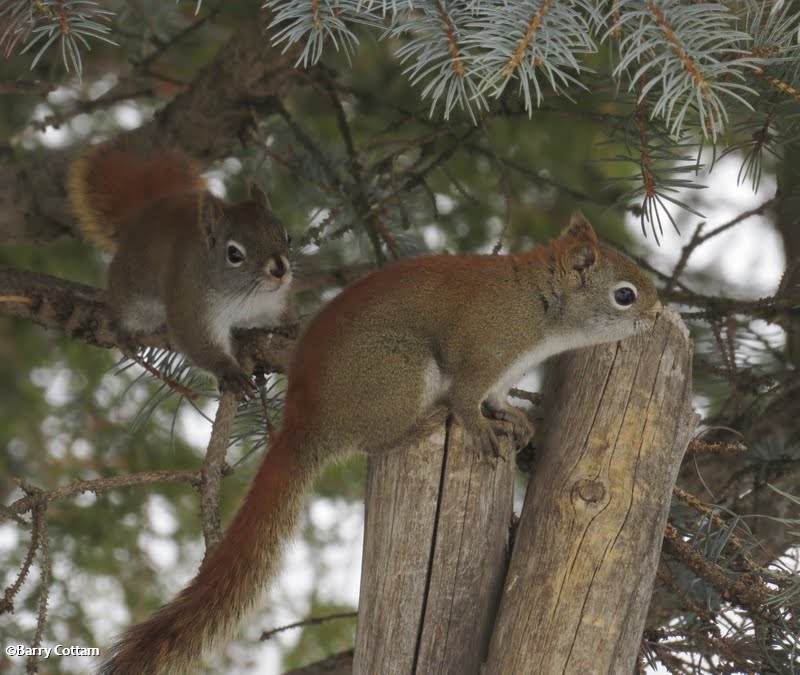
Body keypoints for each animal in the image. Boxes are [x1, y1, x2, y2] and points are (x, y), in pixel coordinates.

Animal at [69, 143, 292, 396]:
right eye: (234, 254)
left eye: (288, 238)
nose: (279, 269)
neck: (246, 294)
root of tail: (142, 217)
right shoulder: (190, 305)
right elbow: (199, 345)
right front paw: (229, 372)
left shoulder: (275, 302)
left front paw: (292, 328)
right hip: (133, 295)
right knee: (121, 313)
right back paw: (124, 335)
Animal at [94, 210, 664, 672]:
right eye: (625, 294)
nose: (659, 316)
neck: (538, 306)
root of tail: (307, 422)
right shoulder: (482, 352)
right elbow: (467, 398)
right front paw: (481, 427)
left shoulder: (502, 374)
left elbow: (498, 397)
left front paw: (515, 418)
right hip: (399, 372)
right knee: (378, 442)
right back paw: (424, 425)